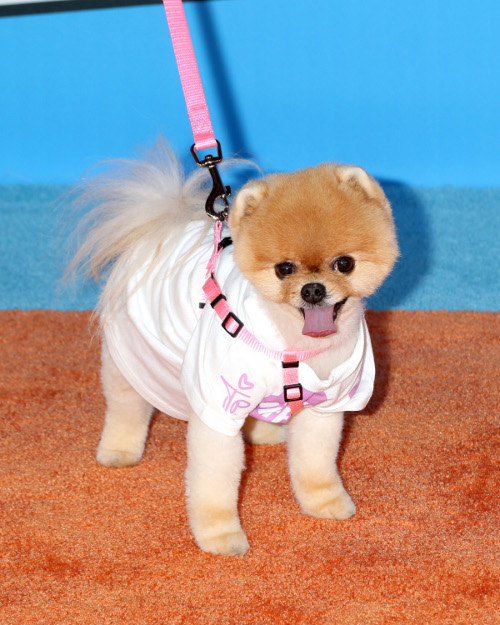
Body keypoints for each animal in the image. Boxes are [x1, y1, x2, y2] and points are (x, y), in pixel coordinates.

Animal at [71, 141, 398, 555]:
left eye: (344, 263)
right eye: (284, 269)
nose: (312, 290)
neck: (294, 345)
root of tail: (158, 228)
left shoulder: (325, 405)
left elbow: (316, 462)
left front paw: (324, 502)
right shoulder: (219, 405)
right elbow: (214, 481)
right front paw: (220, 536)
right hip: (133, 353)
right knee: (126, 404)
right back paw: (118, 449)